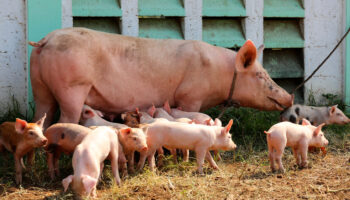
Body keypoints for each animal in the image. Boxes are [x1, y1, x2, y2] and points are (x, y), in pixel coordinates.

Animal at [29, 27, 292, 127]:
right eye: (260, 75)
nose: (289, 97)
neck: (220, 72)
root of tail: (44, 41)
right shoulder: (190, 96)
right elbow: (189, 111)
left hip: (40, 87)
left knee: (41, 116)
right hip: (72, 88)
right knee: (65, 117)